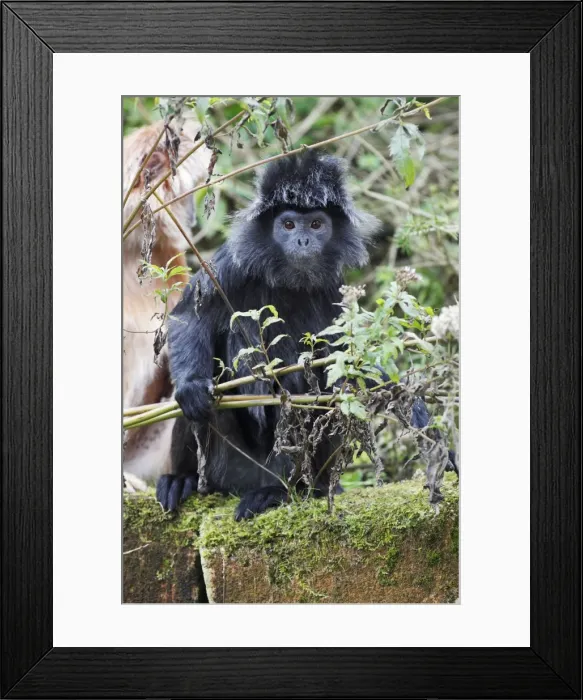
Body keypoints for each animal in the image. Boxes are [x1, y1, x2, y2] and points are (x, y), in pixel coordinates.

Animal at [156, 151, 382, 519]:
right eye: (288, 225)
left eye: (316, 225)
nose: (303, 240)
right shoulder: (229, 265)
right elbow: (189, 318)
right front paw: (191, 387)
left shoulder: (332, 289)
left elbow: (346, 368)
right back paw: (183, 479)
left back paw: (285, 491)